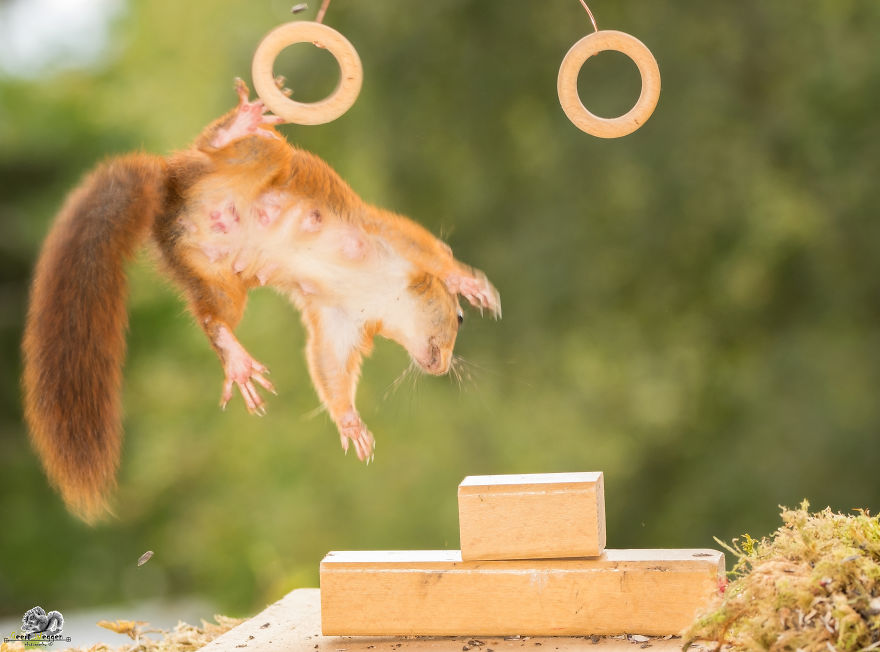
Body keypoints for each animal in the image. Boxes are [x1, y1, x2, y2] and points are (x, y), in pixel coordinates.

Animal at [22, 80, 500, 522]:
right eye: (458, 319)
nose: (443, 366)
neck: (379, 295)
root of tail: (166, 192)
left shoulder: (339, 319)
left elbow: (327, 362)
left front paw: (349, 421)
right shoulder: (389, 239)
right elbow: (431, 252)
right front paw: (472, 286)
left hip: (214, 277)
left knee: (211, 317)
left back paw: (235, 358)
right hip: (251, 160)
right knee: (224, 147)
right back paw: (241, 123)